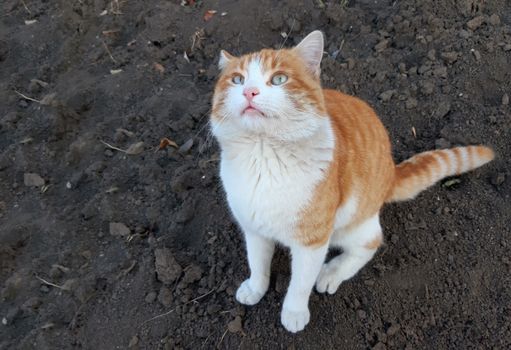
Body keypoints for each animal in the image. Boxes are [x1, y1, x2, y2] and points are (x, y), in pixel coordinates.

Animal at [209, 29, 496, 330]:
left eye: (278, 79)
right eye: (237, 79)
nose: (249, 91)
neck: (264, 154)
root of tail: (391, 172)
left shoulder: (313, 240)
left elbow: (300, 283)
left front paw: (294, 312)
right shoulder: (253, 227)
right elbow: (257, 262)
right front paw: (256, 287)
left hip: (351, 223)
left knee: (370, 244)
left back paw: (331, 272)